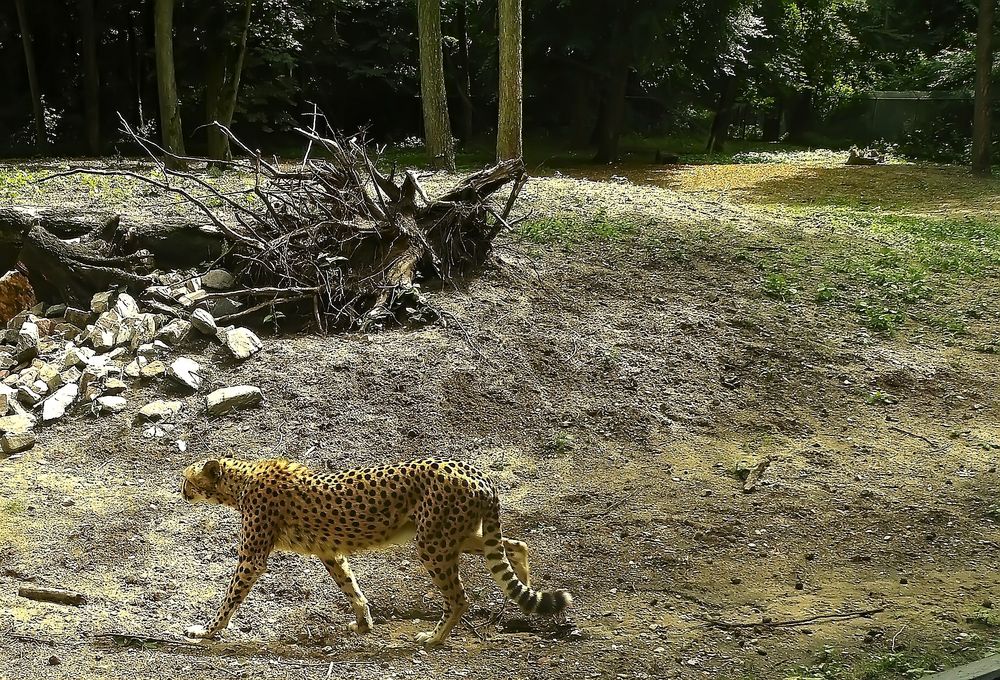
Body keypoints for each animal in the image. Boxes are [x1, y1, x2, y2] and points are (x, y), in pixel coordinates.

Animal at [180, 456, 572, 644]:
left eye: (187, 479)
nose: (180, 491)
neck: (240, 481)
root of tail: (478, 472)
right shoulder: (329, 551)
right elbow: (350, 586)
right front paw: (363, 622)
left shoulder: (252, 558)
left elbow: (229, 598)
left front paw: (206, 631)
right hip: (456, 535)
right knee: (515, 546)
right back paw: (522, 604)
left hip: (432, 542)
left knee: (459, 597)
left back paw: (434, 638)